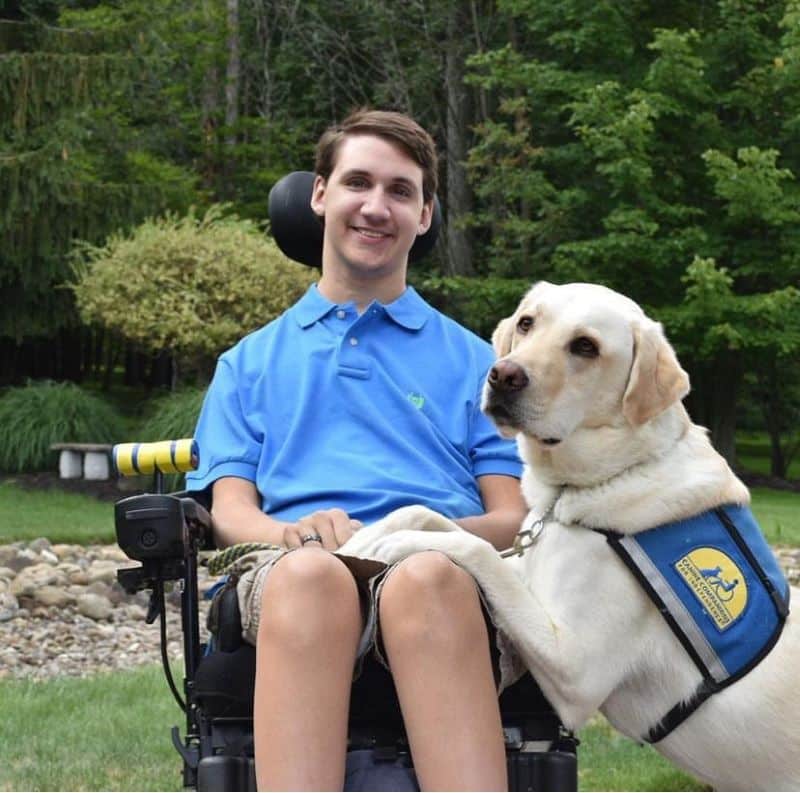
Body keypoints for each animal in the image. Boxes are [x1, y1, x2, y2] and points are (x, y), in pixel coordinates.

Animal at [478, 282, 796, 788]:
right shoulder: (523, 574)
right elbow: (436, 522)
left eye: (585, 347)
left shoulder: (574, 668)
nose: (503, 374)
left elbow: (472, 549)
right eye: (527, 323)